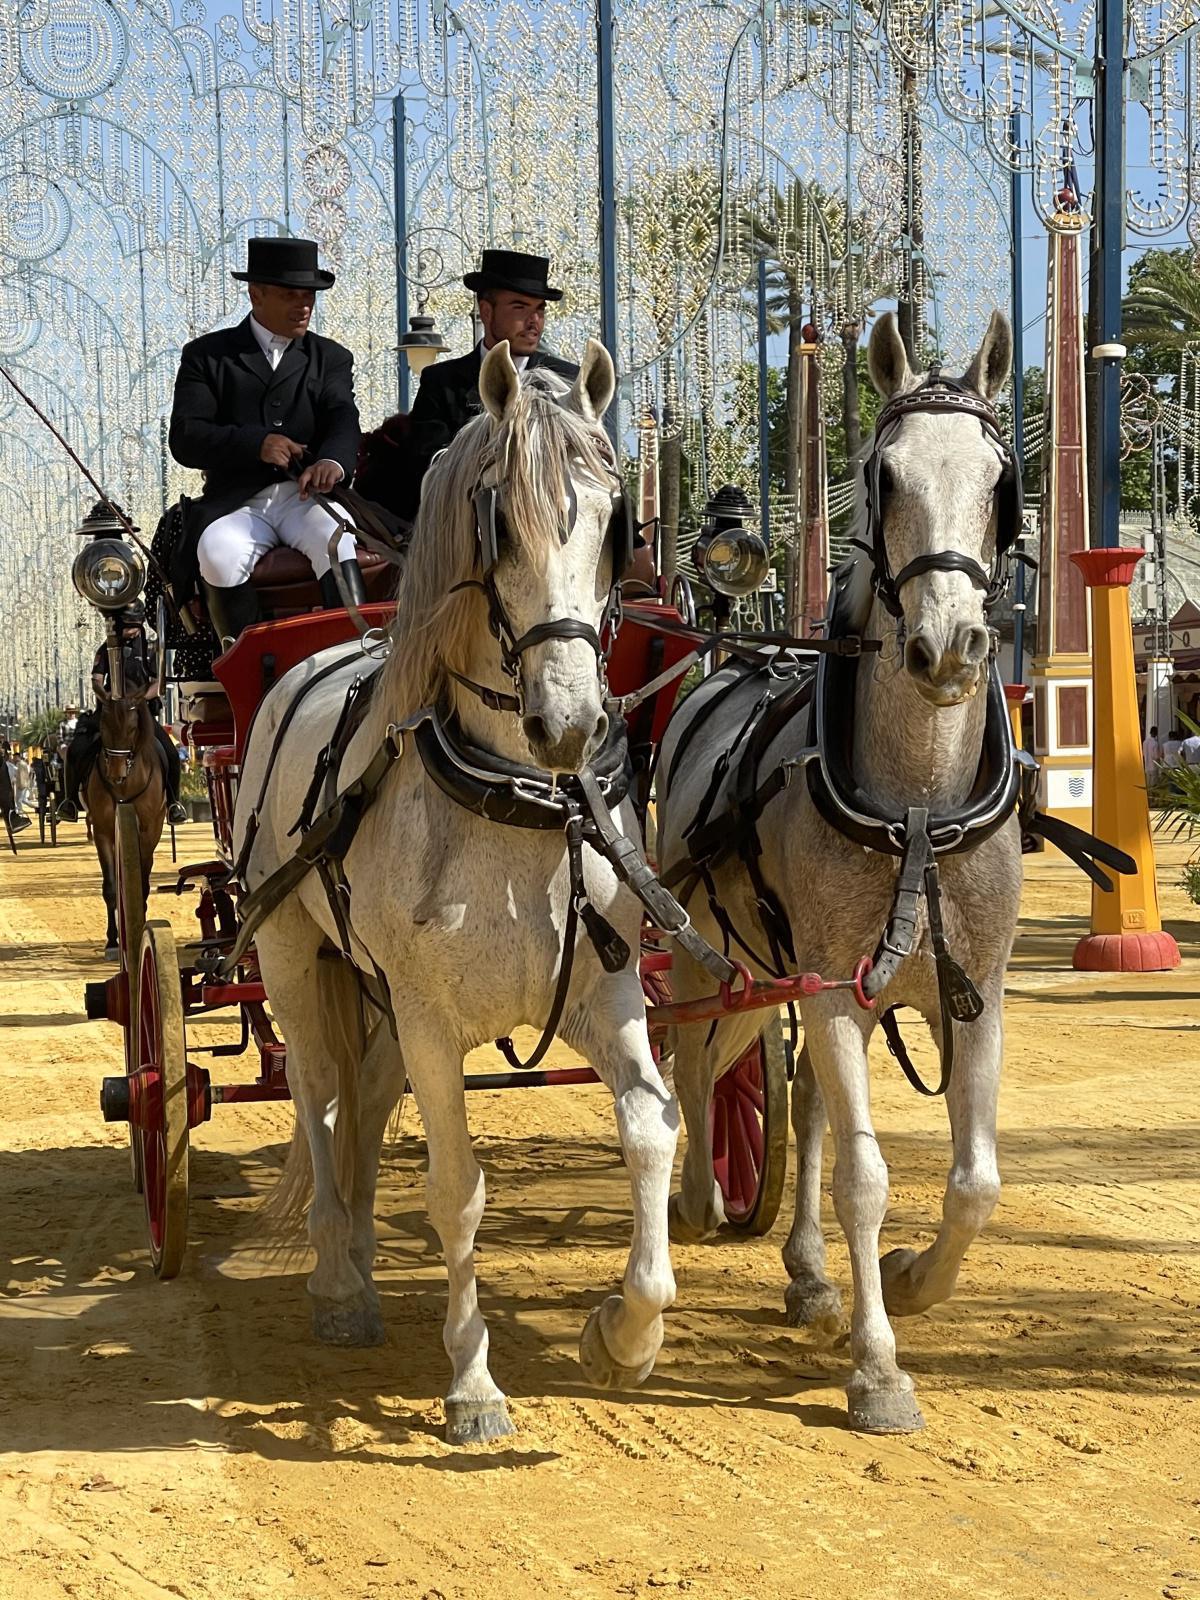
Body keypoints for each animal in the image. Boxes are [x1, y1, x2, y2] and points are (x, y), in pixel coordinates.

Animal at [86, 678, 167, 953]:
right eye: (103, 724)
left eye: (132, 728)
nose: (116, 773)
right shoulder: (102, 831)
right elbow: (111, 887)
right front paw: (113, 940)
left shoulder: (149, 831)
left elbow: (142, 881)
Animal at [236, 344, 678, 1446]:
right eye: (499, 522)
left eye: (617, 520)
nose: (570, 723)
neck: (516, 803)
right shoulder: (434, 1020)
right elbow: (456, 1189)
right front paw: (474, 1382)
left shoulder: (604, 994)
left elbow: (652, 1129)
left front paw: (624, 1336)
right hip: (293, 957)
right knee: (318, 1096)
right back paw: (340, 1277)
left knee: (361, 1095)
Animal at [659, 312, 1024, 1440]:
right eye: (883, 474)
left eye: (1001, 480)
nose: (949, 645)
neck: (916, 810)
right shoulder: (825, 987)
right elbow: (865, 1173)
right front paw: (877, 1366)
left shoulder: (969, 990)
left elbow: (974, 1180)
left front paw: (905, 1280)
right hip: (707, 949)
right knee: (694, 1060)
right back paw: (703, 1197)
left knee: (808, 1101)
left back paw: (811, 1272)